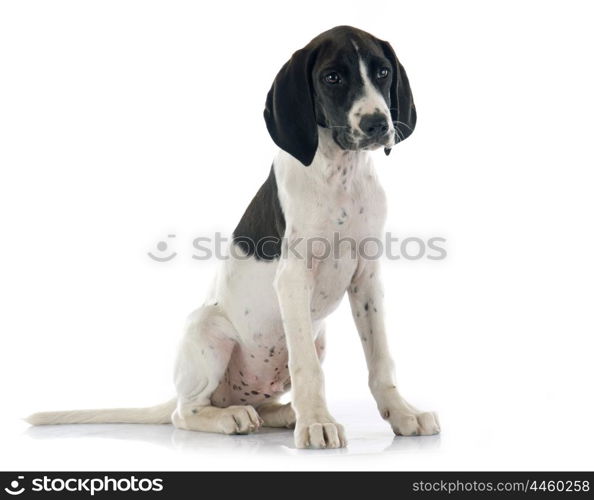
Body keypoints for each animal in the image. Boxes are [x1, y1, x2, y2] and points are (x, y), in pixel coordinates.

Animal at [26, 26, 440, 450]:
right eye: (332, 77)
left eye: (383, 72)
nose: (377, 123)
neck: (341, 175)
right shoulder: (293, 278)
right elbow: (306, 367)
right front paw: (317, 423)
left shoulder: (366, 279)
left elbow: (380, 360)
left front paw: (402, 414)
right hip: (207, 331)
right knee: (185, 413)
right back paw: (234, 417)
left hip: (315, 338)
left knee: (259, 402)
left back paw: (281, 413)